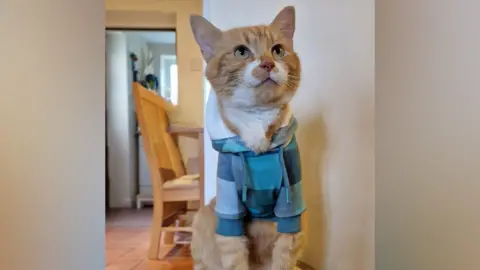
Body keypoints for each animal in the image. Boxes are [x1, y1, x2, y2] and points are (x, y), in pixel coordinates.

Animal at [189, 5, 306, 268]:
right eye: (241, 52)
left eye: (278, 50)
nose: (268, 63)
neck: (256, 120)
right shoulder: (229, 205)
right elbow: (234, 255)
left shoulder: (291, 204)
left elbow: (285, 256)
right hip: (206, 215)